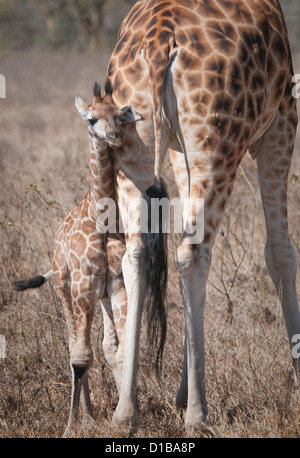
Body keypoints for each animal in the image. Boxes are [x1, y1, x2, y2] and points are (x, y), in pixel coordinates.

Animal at [14, 80, 144, 434]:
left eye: (120, 115)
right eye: (91, 119)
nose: (114, 137)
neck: (103, 218)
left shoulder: (115, 284)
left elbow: (120, 349)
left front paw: (129, 417)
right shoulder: (82, 284)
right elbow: (80, 356)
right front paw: (71, 426)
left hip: (98, 297)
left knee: (99, 347)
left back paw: (90, 412)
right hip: (64, 288)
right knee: (73, 346)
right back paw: (83, 415)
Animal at [106, 0, 300, 430]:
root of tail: (158, 43)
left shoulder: (179, 150)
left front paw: (178, 392)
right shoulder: (281, 122)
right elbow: (280, 252)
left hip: (131, 145)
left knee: (137, 252)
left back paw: (126, 408)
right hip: (218, 141)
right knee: (192, 255)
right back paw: (198, 413)